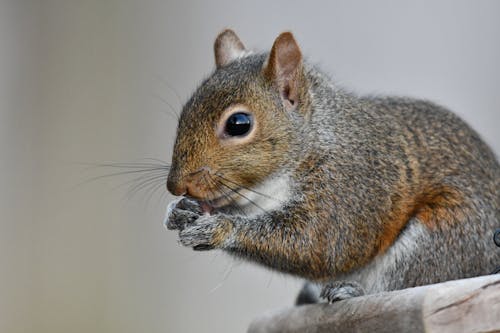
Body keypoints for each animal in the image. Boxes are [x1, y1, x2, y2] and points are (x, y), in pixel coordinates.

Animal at [164, 29, 500, 304]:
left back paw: (352, 291)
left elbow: (320, 244)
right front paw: (180, 211)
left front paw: (219, 228)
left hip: (444, 234)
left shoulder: (349, 186)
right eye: (185, 111)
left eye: (238, 124)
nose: (176, 185)